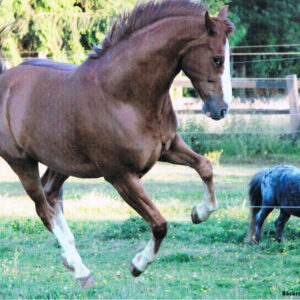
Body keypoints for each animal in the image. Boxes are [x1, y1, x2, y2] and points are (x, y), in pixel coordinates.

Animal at [0, 0, 234, 288]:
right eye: (216, 59)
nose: (221, 109)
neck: (122, 95)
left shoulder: (168, 148)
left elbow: (205, 167)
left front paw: (199, 213)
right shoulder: (121, 177)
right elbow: (160, 224)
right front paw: (138, 265)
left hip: (62, 162)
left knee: (51, 196)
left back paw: (70, 259)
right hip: (22, 162)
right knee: (44, 208)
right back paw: (81, 271)